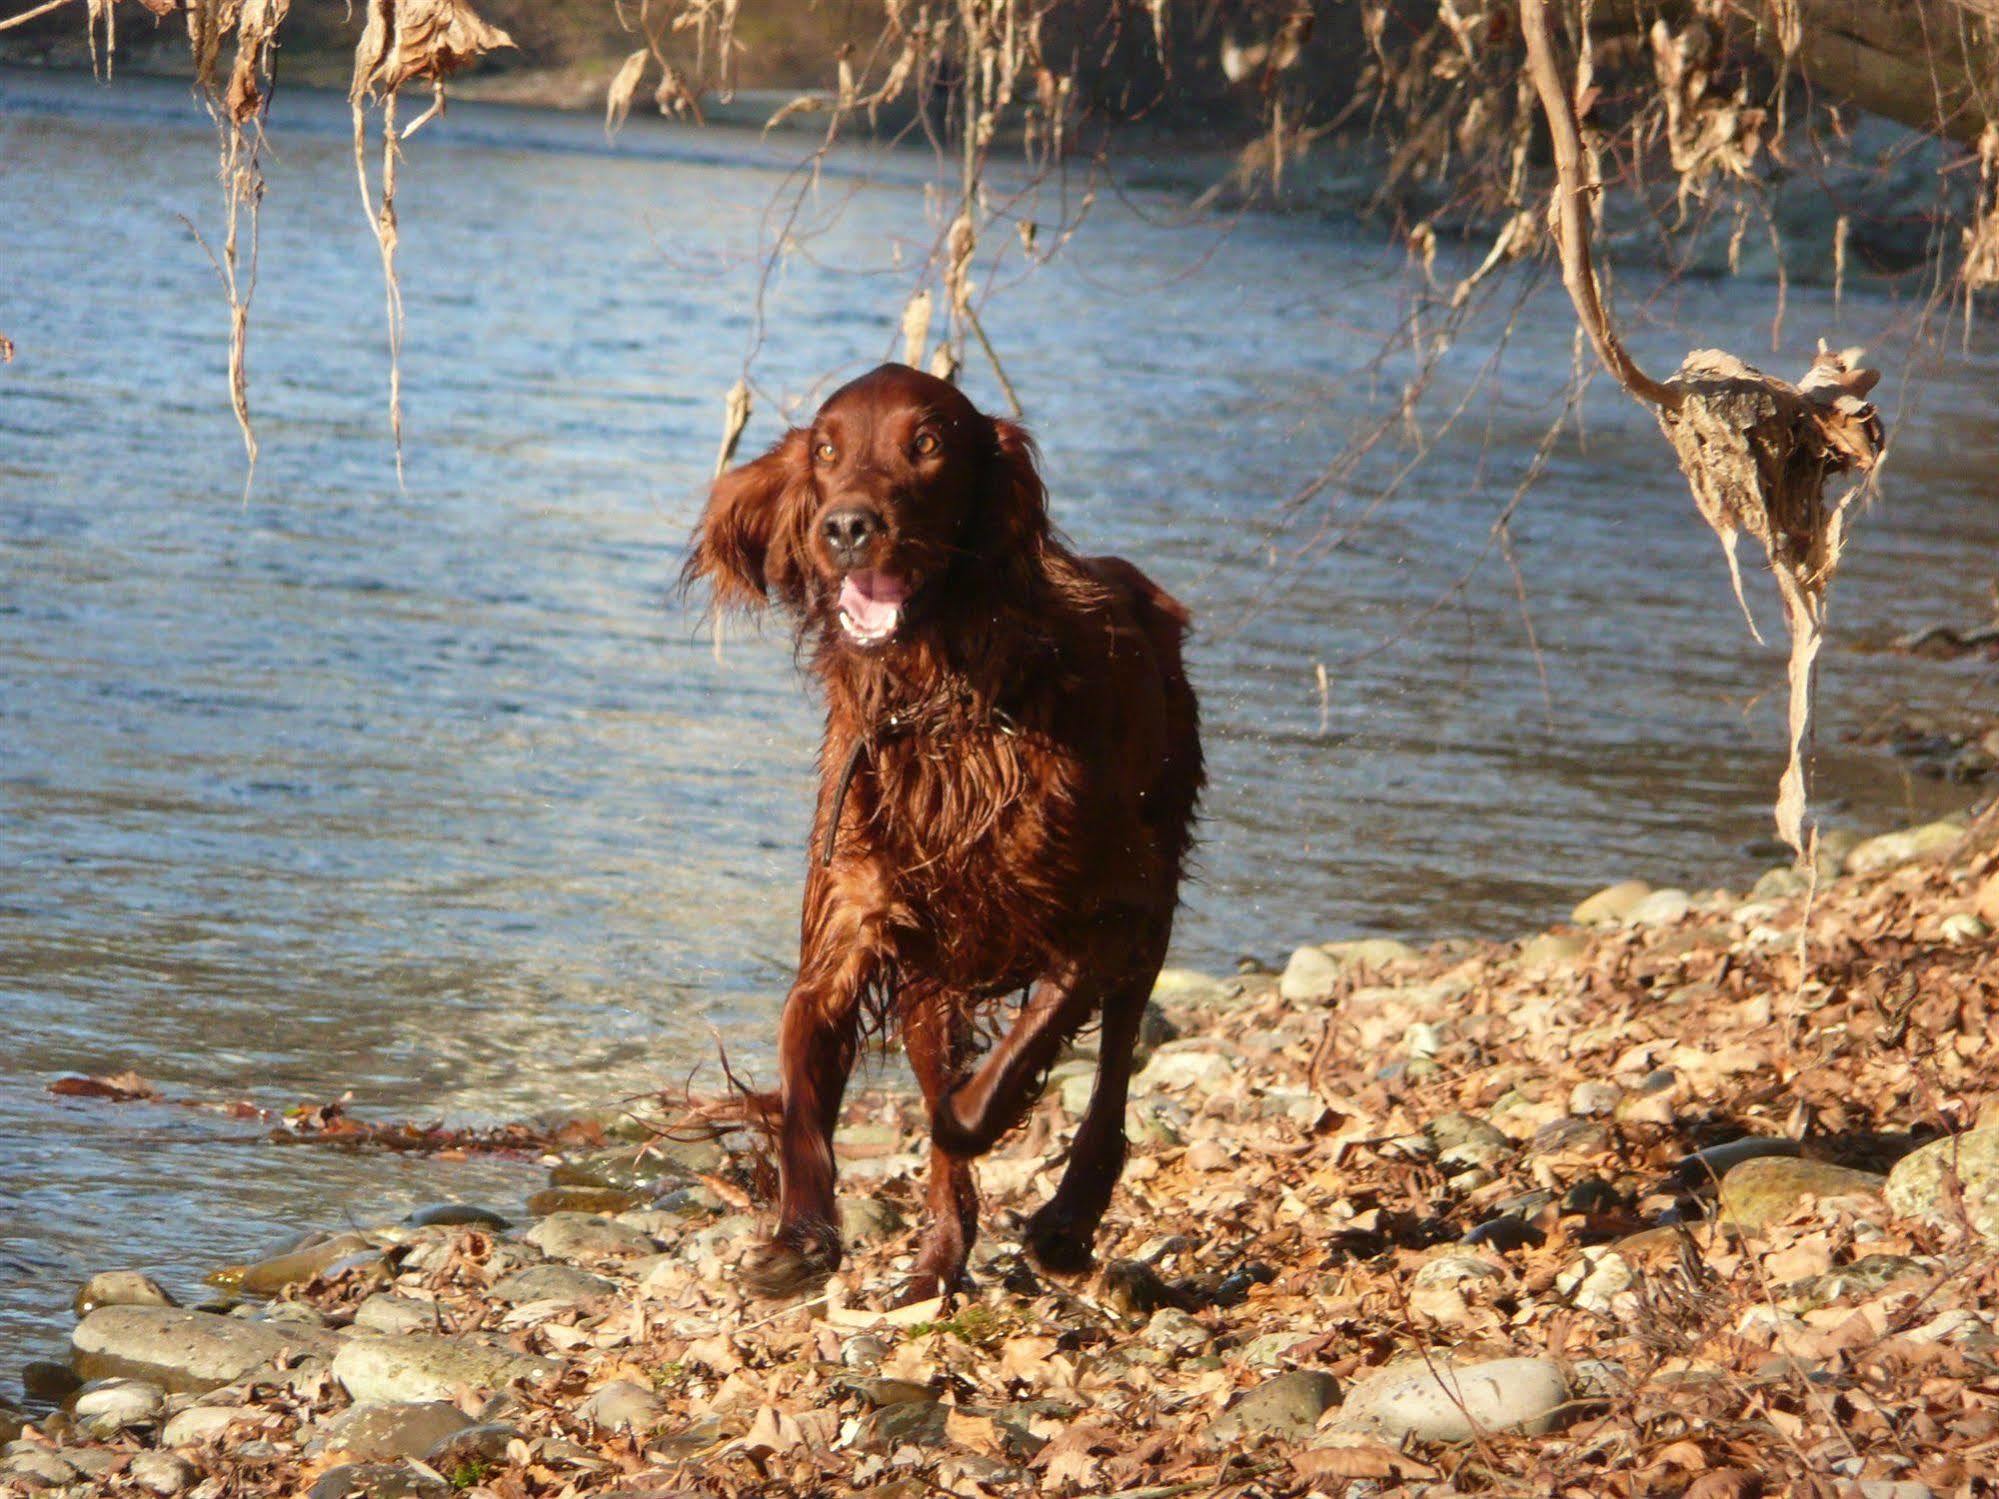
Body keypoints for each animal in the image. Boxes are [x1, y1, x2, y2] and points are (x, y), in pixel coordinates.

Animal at [687, 367, 1199, 1303]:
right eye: (825, 448)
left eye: (926, 443)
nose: (846, 526)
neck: (935, 704)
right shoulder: (853, 923)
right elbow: (806, 1083)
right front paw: (801, 1233)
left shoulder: (1107, 910)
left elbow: (994, 1084)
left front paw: (972, 1121)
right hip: (937, 972)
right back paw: (937, 1259)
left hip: (1154, 889)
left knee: (1112, 1069)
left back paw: (1067, 1220)